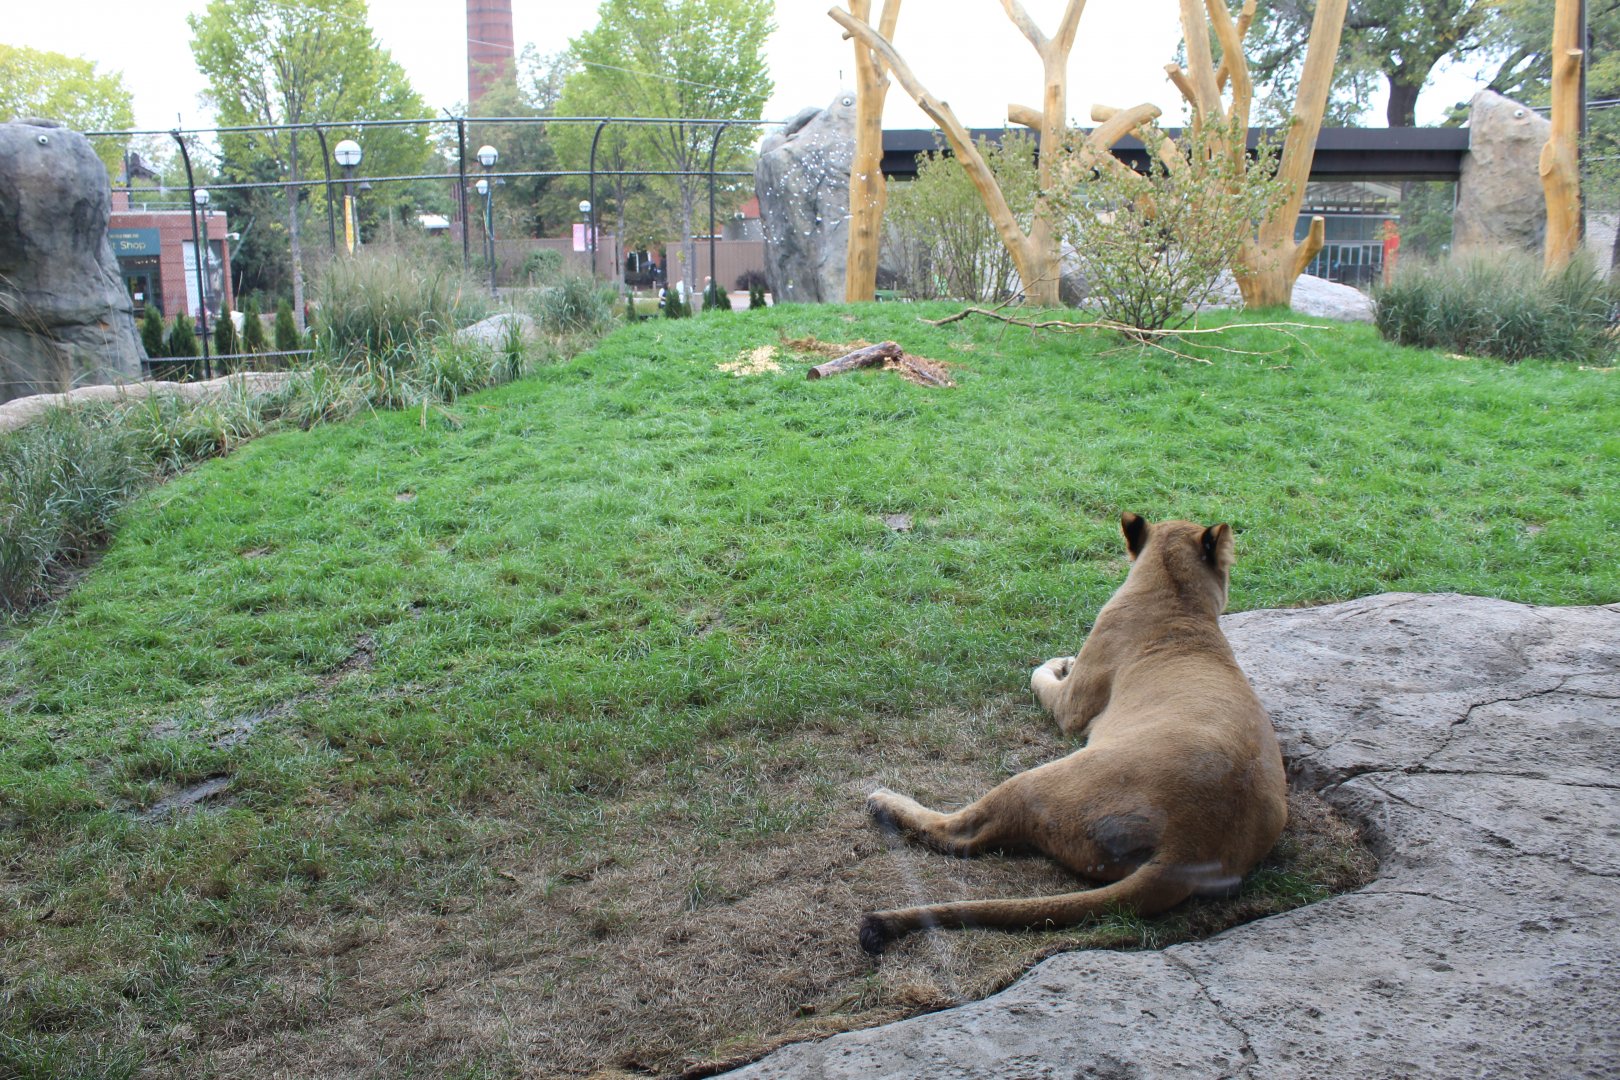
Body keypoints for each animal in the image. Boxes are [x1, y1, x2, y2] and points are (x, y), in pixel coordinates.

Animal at [859, 512, 1287, 954]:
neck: (1179, 600)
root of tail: (1187, 850)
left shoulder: (1073, 707)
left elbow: (1039, 677)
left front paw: (1058, 663)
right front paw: (1064, 659)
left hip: (1040, 783)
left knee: (961, 835)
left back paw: (886, 801)